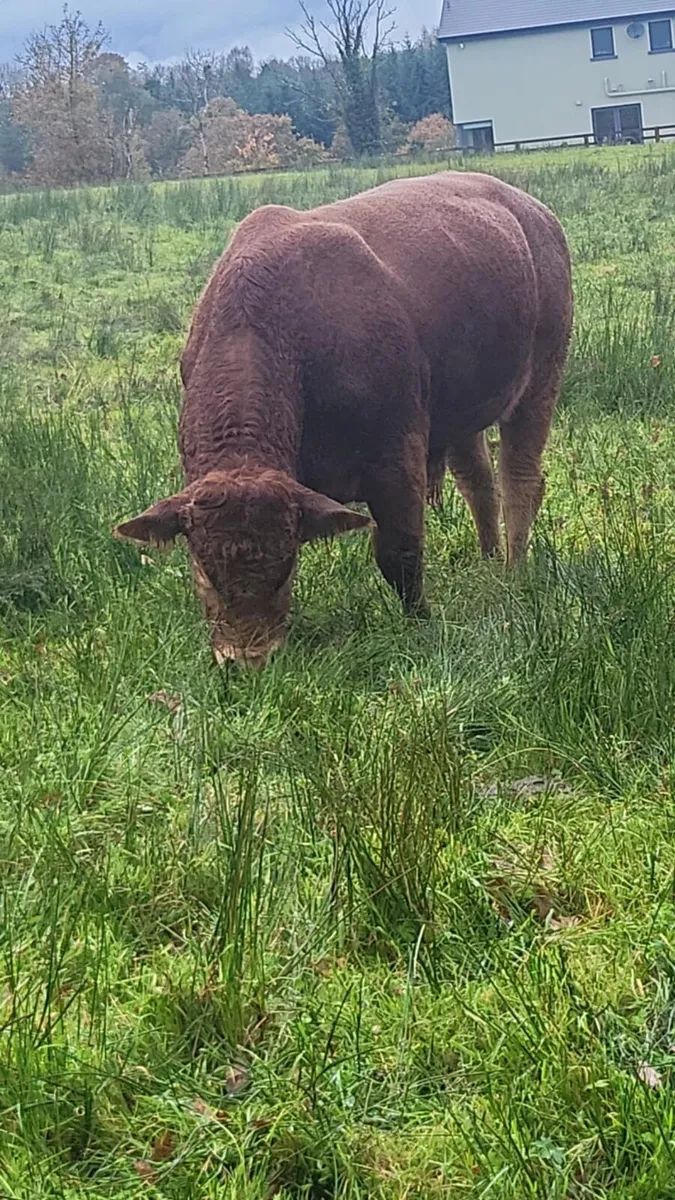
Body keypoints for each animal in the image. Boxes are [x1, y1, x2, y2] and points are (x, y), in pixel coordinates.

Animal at [115, 171, 573, 666]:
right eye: (202, 570)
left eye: (286, 566)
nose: (248, 661)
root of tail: (532, 209)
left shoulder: (396, 458)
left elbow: (399, 552)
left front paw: (421, 622)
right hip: (461, 411)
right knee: (478, 481)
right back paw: (488, 559)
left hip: (542, 375)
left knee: (519, 479)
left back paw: (513, 568)